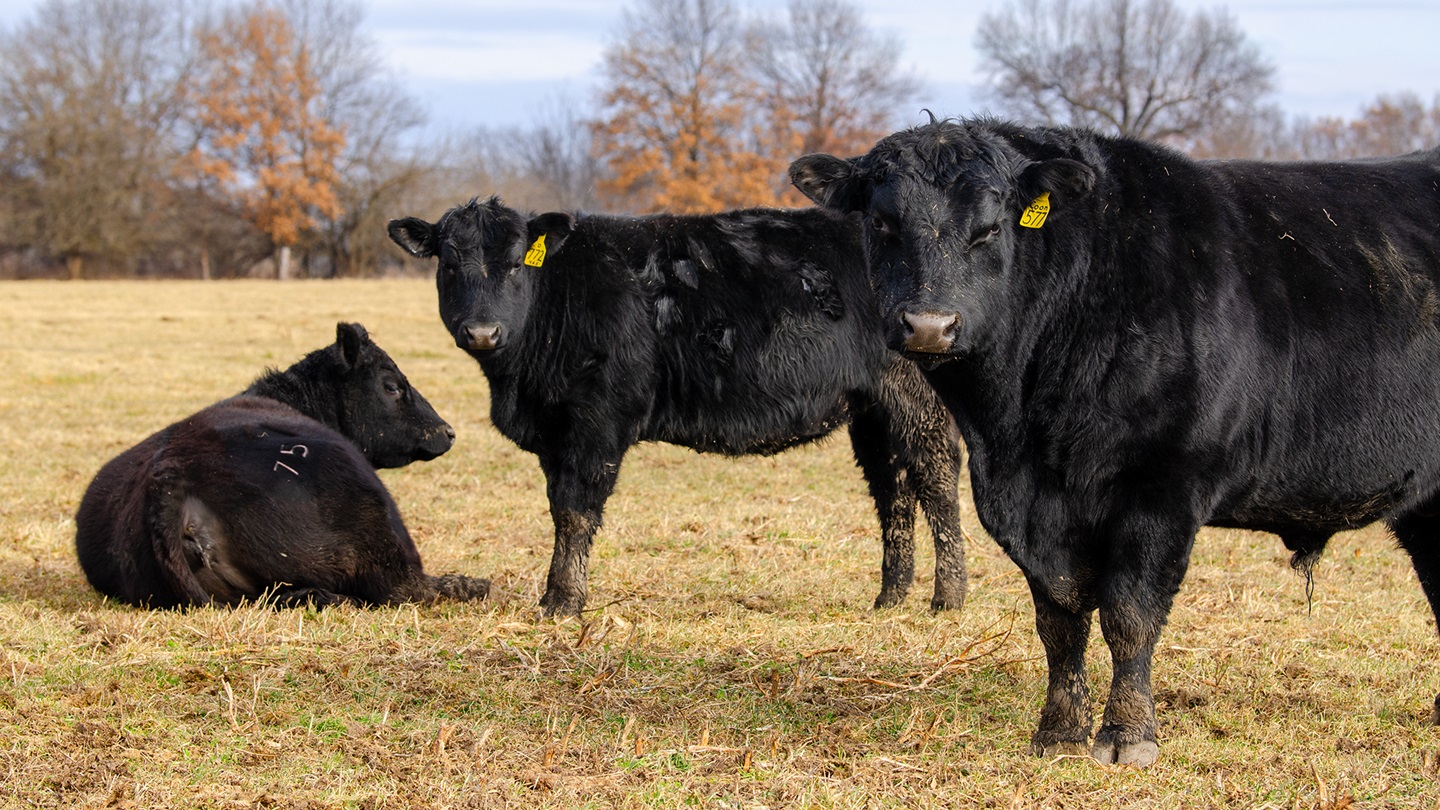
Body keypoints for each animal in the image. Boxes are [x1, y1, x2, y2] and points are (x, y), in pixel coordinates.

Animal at [75, 322, 490, 609]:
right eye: (392, 385)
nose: (448, 432)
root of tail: (170, 474)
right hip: (374, 516)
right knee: (407, 588)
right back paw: (475, 585)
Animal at [387, 197, 967, 617]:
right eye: (449, 264)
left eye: (513, 265)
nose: (482, 332)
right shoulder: (556, 432)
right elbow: (557, 508)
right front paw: (555, 595)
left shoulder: (597, 420)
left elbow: (575, 511)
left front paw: (564, 603)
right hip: (872, 410)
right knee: (892, 490)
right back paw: (889, 598)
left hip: (917, 395)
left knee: (937, 478)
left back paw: (948, 597)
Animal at [790, 117, 1440, 767]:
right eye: (882, 223)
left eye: (991, 227)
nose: (929, 325)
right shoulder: (1029, 508)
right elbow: (1059, 619)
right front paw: (1058, 730)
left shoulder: (1163, 487)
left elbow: (1130, 614)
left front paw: (1128, 734)